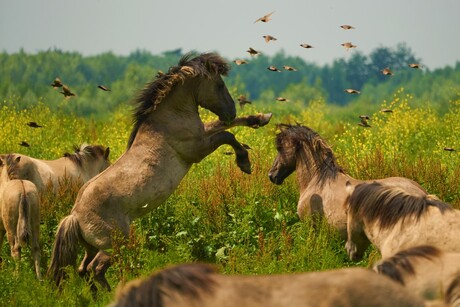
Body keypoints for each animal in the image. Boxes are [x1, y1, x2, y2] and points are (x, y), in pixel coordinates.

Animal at [47, 52, 274, 292]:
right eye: (219, 85)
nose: (231, 111)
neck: (168, 118)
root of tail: (74, 215)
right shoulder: (196, 149)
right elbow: (227, 136)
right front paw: (244, 162)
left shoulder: (203, 133)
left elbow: (225, 126)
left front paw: (261, 118)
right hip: (113, 244)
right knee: (95, 269)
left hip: (92, 247)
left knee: (84, 270)